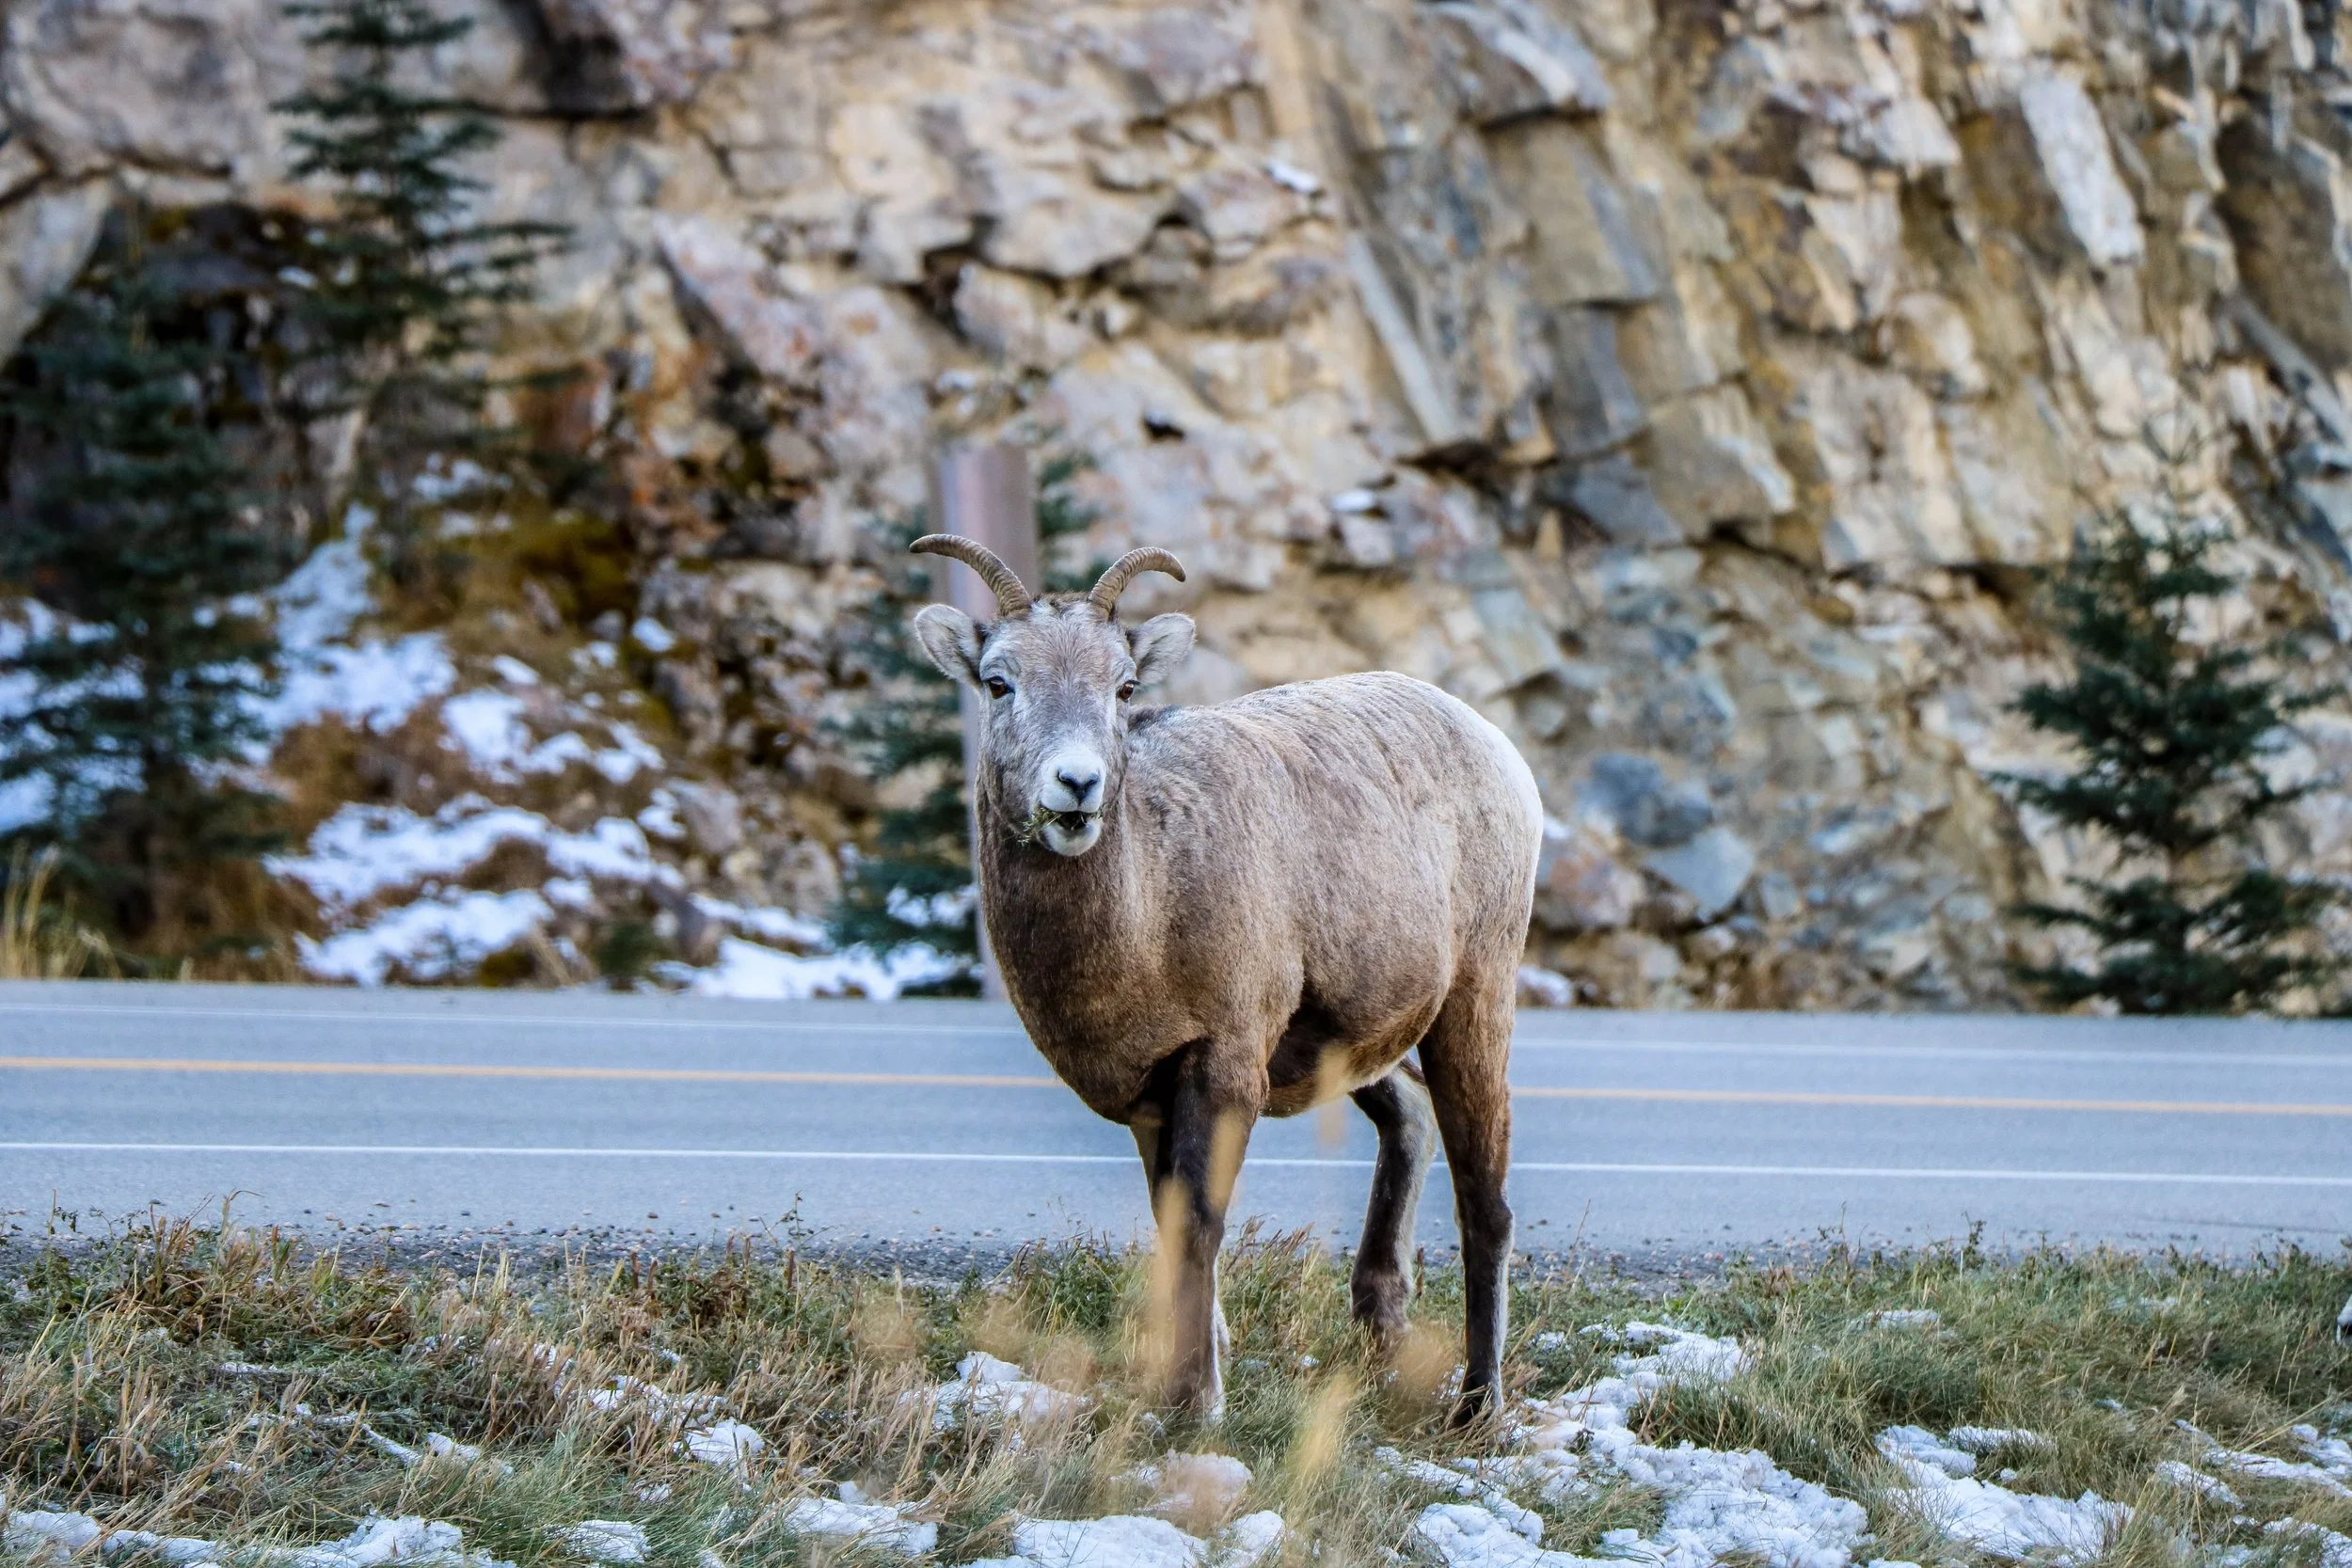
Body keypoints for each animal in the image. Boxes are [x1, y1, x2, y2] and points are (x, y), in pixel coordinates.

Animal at [908, 534, 1543, 1422]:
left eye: (1123, 686)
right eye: (999, 682)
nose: (1076, 786)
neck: (1150, 909)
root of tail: (1494, 745)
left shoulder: (1224, 1068)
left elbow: (1202, 1226)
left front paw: (1194, 1403)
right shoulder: (1151, 1097)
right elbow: (1172, 1223)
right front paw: (1193, 1382)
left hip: (1473, 1005)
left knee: (1487, 1203)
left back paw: (1476, 1404)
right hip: (1353, 1050)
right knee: (1410, 1121)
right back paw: (1381, 1329)